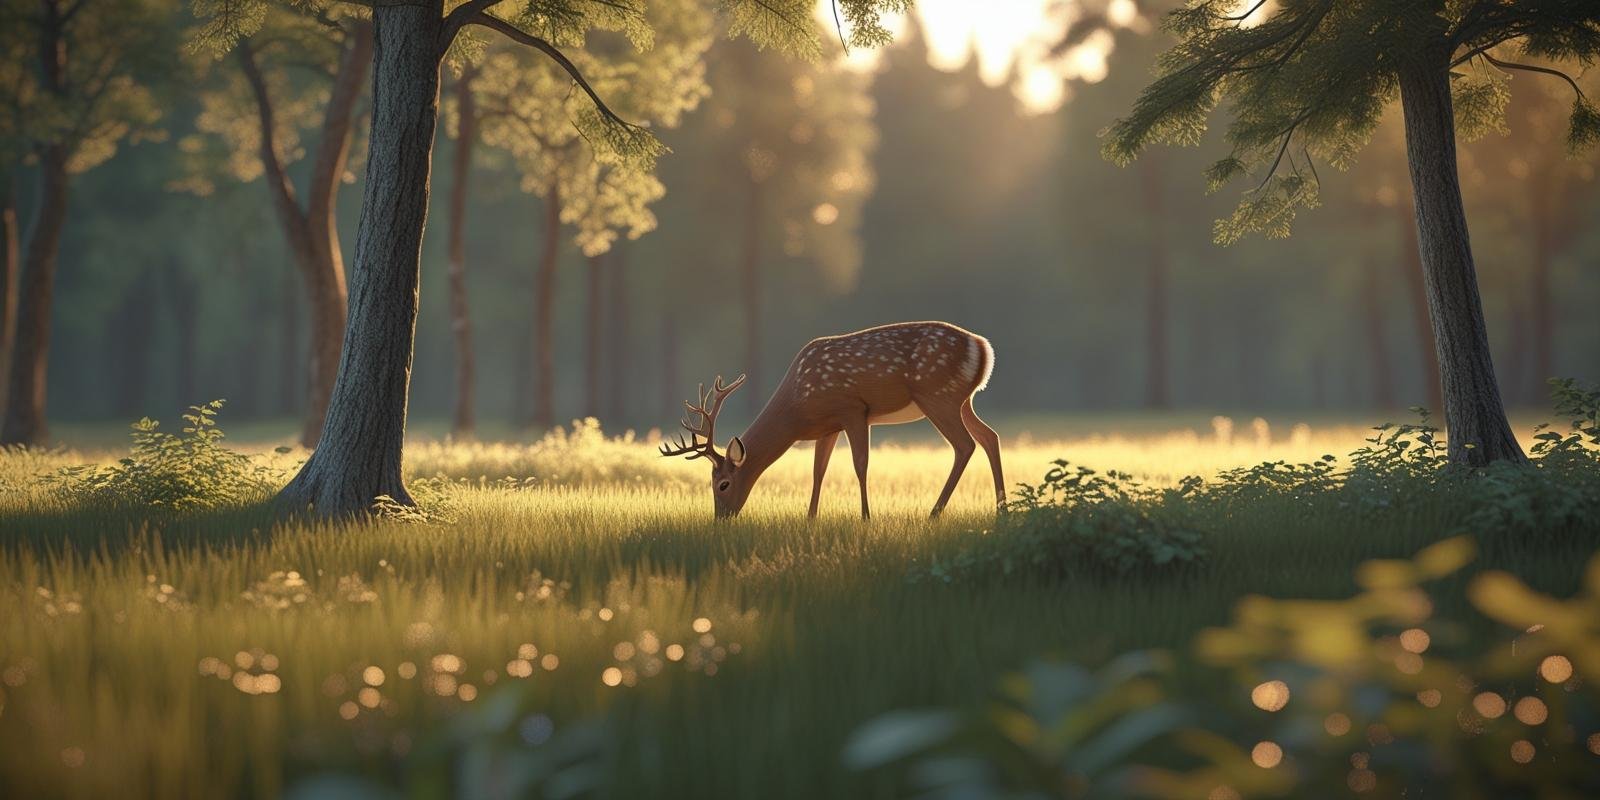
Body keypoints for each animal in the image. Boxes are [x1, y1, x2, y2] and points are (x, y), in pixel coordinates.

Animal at [659, 321, 1004, 519]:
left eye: (723, 484)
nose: (720, 519)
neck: (797, 410)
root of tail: (983, 348)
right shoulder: (828, 426)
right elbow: (818, 471)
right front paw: (810, 520)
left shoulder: (851, 408)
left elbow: (860, 464)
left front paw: (865, 518)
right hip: (960, 400)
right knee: (989, 437)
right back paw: (1002, 510)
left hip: (936, 394)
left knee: (965, 444)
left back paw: (934, 513)